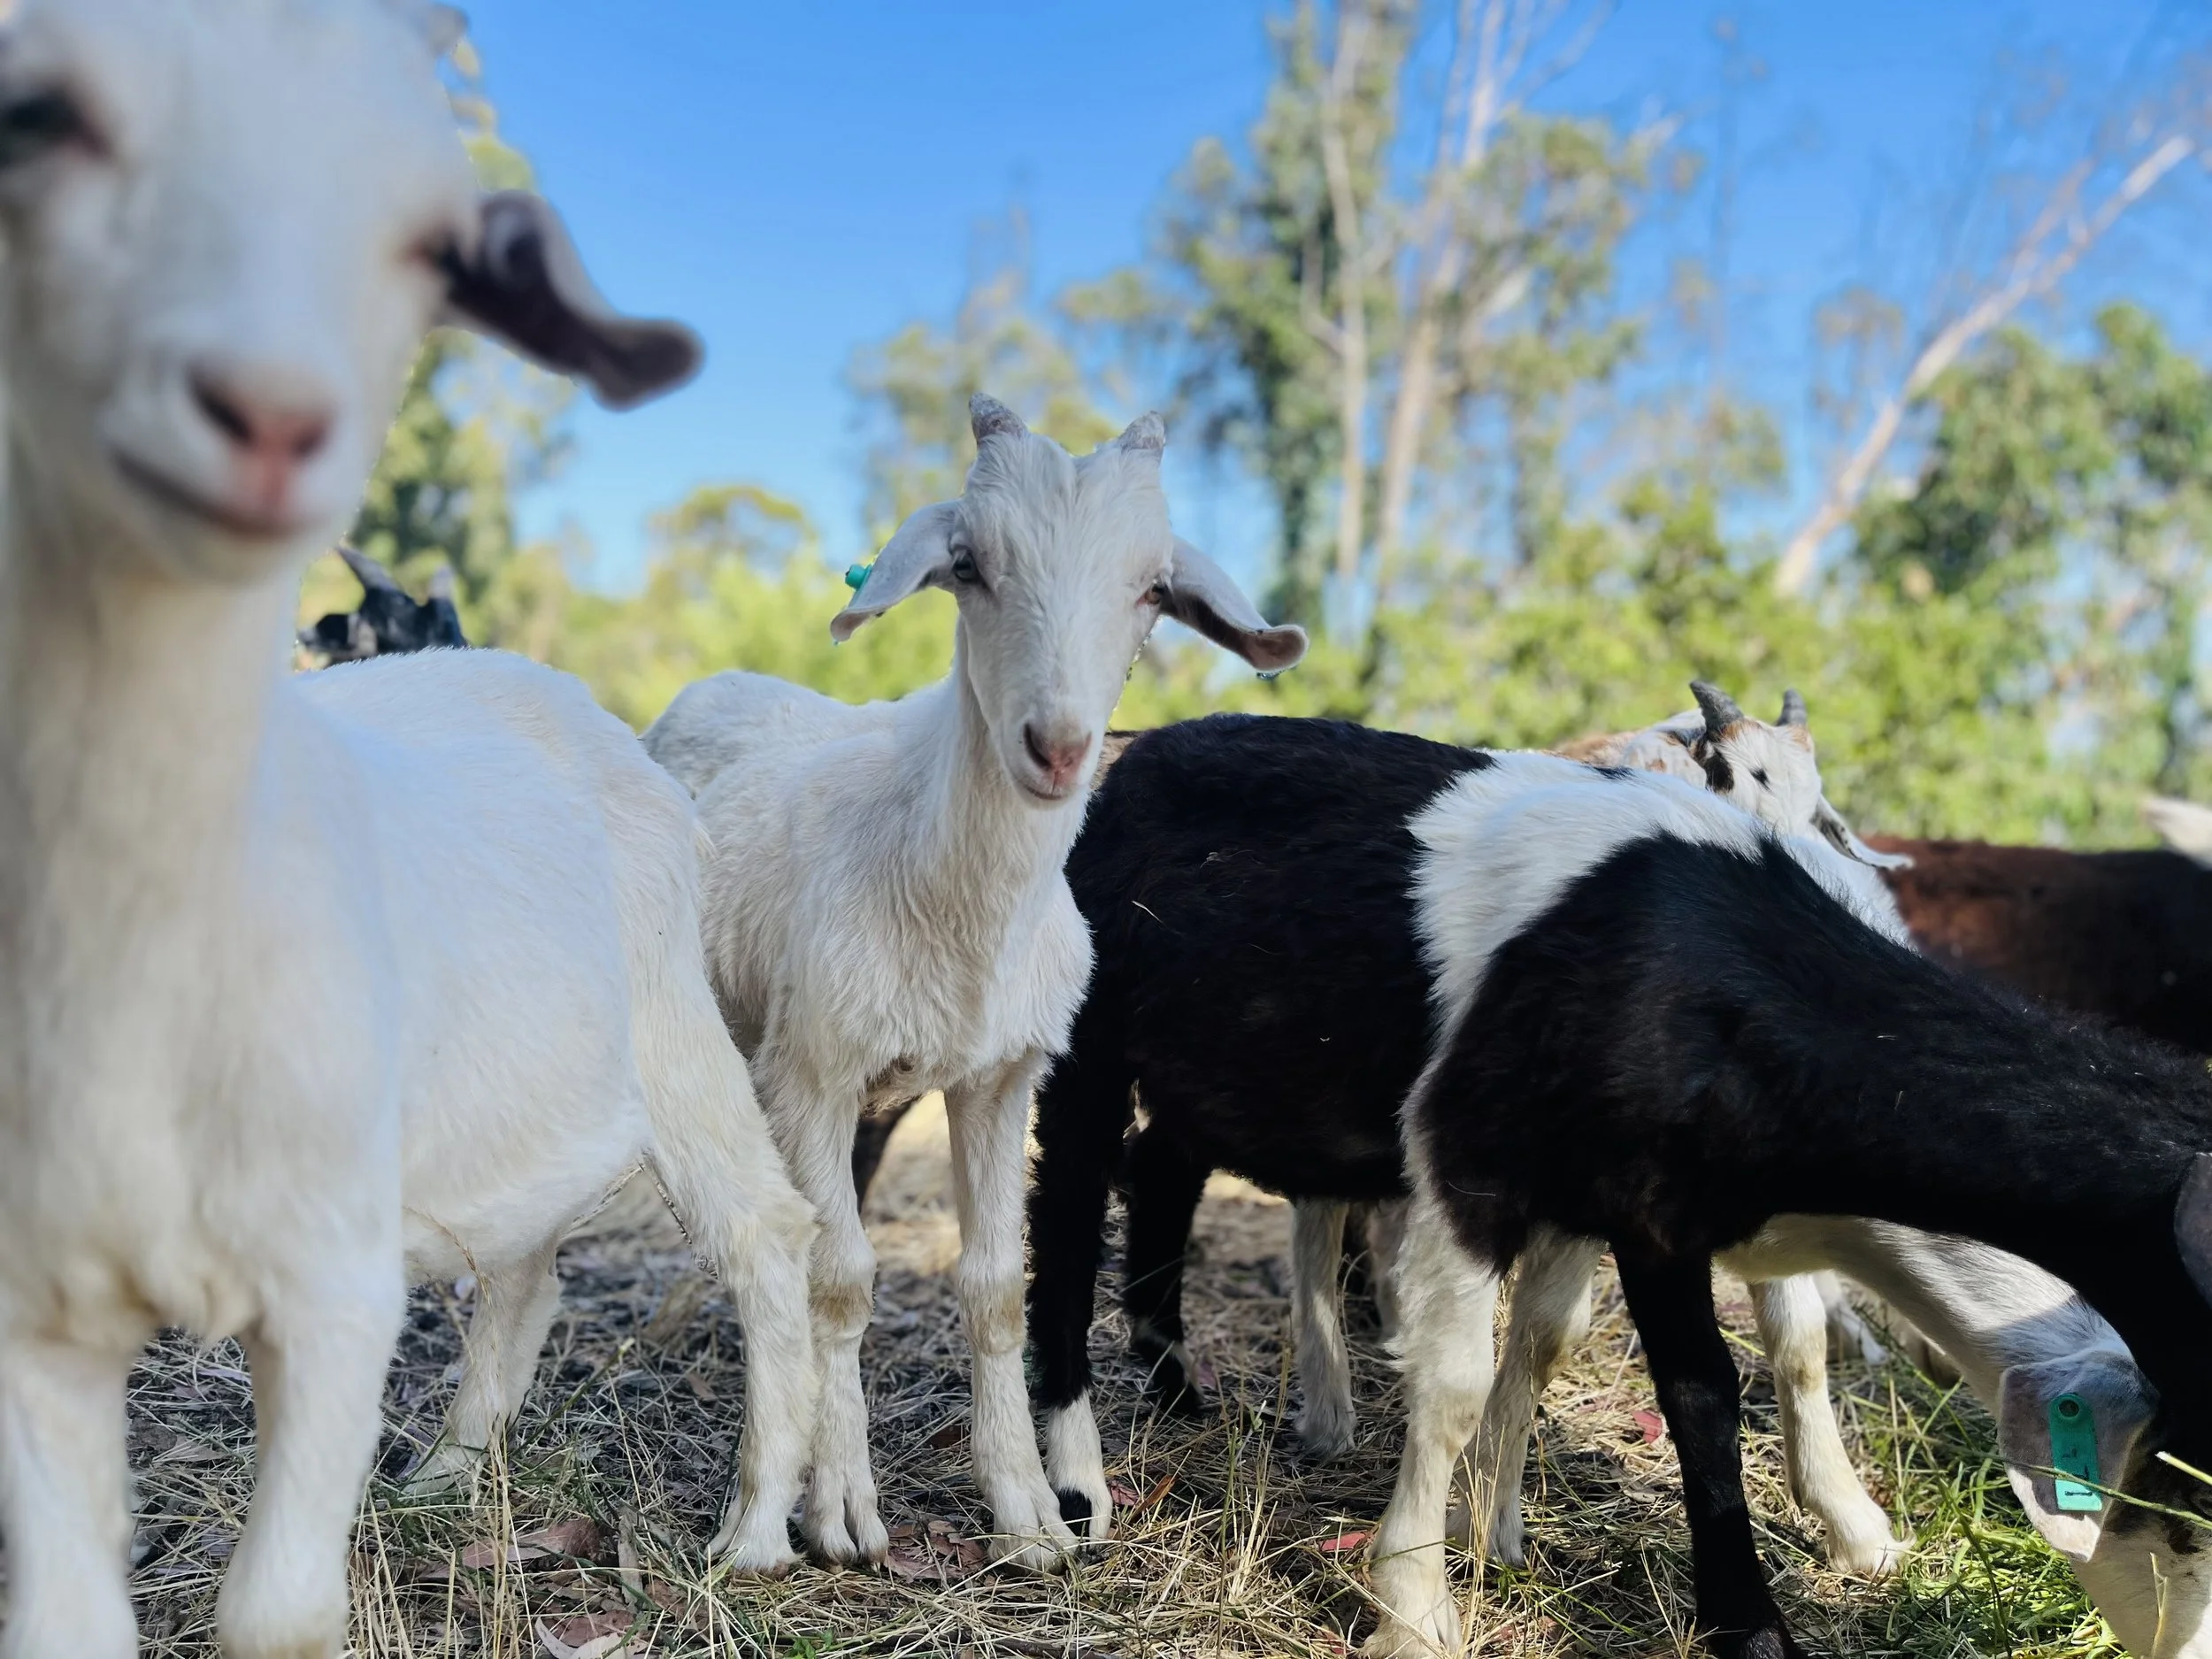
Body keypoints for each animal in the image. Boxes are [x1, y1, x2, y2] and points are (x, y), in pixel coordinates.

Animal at [0, 6, 812, 1654]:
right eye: (37, 120)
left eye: (432, 241)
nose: (265, 411)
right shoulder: (41, 1309)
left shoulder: (330, 1283)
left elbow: (274, 1612)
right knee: (525, 1273)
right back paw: (448, 1474)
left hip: (677, 1029)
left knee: (767, 1232)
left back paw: (757, 1531)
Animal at [641, 399, 1304, 1571]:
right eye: (969, 565)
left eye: (1152, 589)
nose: (1058, 746)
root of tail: (715, 684)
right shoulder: (812, 1068)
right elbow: (842, 1279)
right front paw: (842, 1511)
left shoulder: (1000, 1077)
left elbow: (996, 1289)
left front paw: (1030, 1513)